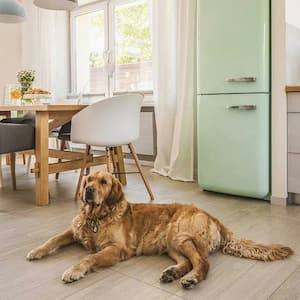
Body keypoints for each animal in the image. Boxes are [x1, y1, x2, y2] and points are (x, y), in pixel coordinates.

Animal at [27, 171, 294, 288]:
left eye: (104, 182)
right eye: (88, 179)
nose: (88, 191)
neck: (97, 216)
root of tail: (214, 218)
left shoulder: (116, 249)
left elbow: (89, 258)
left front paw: (74, 270)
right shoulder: (73, 231)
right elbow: (53, 239)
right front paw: (36, 251)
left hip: (181, 235)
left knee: (203, 263)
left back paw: (191, 279)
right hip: (172, 244)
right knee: (187, 261)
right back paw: (172, 273)